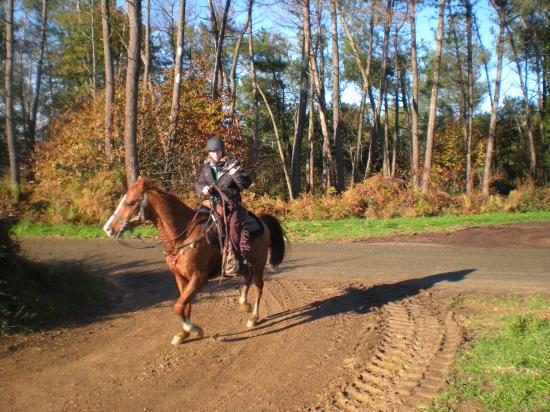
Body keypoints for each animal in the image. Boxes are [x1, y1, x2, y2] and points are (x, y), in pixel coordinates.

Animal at [102, 176, 288, 344]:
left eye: (130, 202)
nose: (108, 229)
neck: (184, 235)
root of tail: (262, 221)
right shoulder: (180, 277)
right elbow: (185, 304)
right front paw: (183, 334)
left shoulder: (199, 278)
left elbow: (178, 306)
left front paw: (194, 329)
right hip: (244, 263)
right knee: (247, 277)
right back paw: (244, 304)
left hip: (258, 264)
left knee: (258, 288)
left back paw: (254, 317)